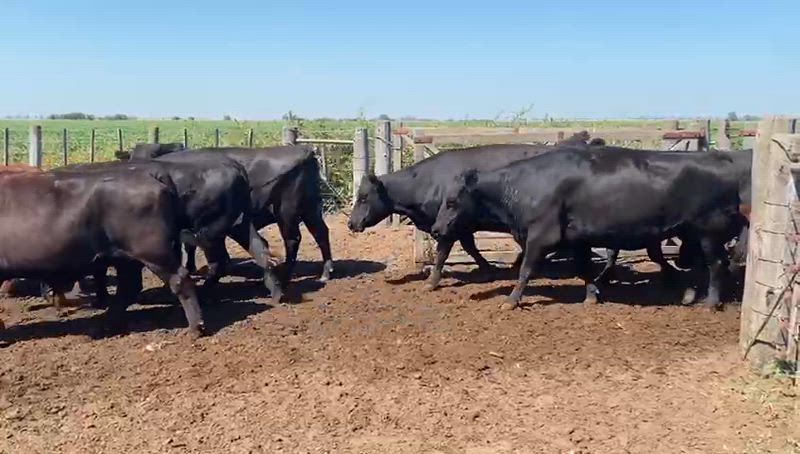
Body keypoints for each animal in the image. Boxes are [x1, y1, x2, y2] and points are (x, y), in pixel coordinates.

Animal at [0, 165, 205, 338]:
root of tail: (147, 173)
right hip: (127, 259)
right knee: (129, 288)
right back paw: (106, 325)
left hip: (153, 252)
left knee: (179, 279)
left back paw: (196, 328)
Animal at [125, 144, 334, 287]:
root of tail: (304, 150)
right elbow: (191, 245)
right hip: (311, 209)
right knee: (321, 233)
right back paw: (326, 272)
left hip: (287, 212)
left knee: (292, 239)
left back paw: (286, 274)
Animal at [430, 146, 751, 311]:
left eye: (451, 201)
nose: (435, 229)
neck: (525, 184)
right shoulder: (577, 238)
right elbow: (583, 268)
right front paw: (591, 294)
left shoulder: (541, 235)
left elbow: (525, 270)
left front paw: (511, 300)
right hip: (693, 233)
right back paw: (693, 294)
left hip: (708, 232)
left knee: (716, 265)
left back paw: (711, 302)